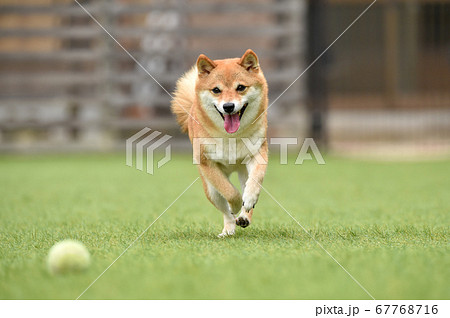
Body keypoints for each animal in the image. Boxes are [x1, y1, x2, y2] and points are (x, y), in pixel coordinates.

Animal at [170, 49, 268, 236]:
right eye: (216, 90)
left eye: (240, 87)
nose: (228, 106)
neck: (231, 137)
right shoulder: (207, 163)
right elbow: (230, 193)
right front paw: (234, 205)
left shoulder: (258, 152)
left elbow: (255, 181)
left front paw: (249, 199)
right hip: (211, 189)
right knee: (225, 210)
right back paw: (228, 229)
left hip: (242, 172)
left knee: (246, 191)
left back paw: (244, 217)